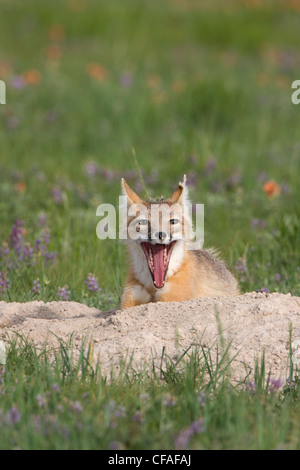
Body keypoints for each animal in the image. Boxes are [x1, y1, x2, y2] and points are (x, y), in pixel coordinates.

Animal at [119, 174, 239, 310]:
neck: (153, 288)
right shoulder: (130, 298)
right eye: (144, 222)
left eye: (172, 221)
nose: (161, 234)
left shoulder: (171, 298)